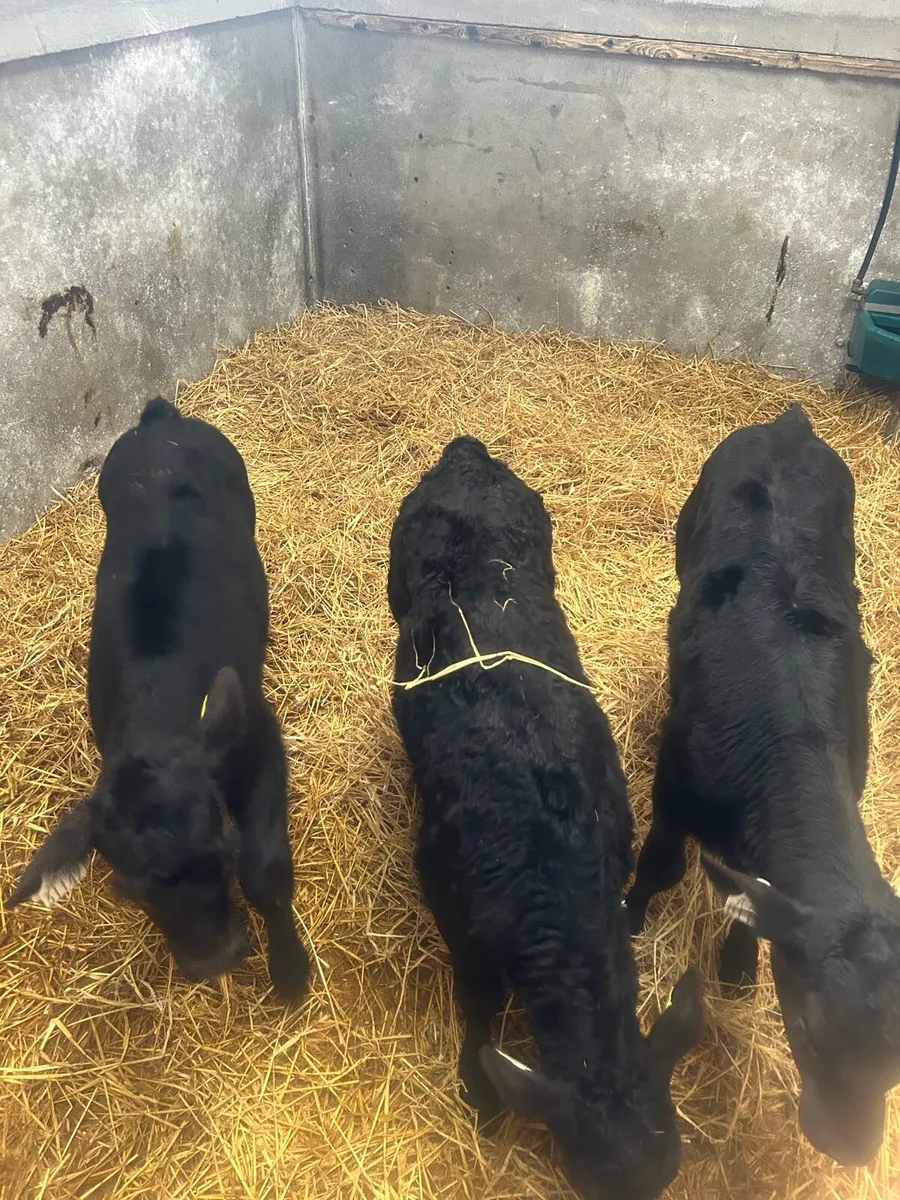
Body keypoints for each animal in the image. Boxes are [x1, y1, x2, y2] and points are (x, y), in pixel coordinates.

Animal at [9, 397, 310, 1001]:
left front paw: (291, 971)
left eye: (223, 854)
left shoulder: (258, 735)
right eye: (132, 892)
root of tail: (159, 421)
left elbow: (266, 868)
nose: (213, 960)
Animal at [625, 403, 900, 1164]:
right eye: (807, 1033)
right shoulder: (672, 791)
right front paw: (629, 920)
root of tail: (789, 424)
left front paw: (741, 964)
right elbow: (659, 867)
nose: (851, 1150)